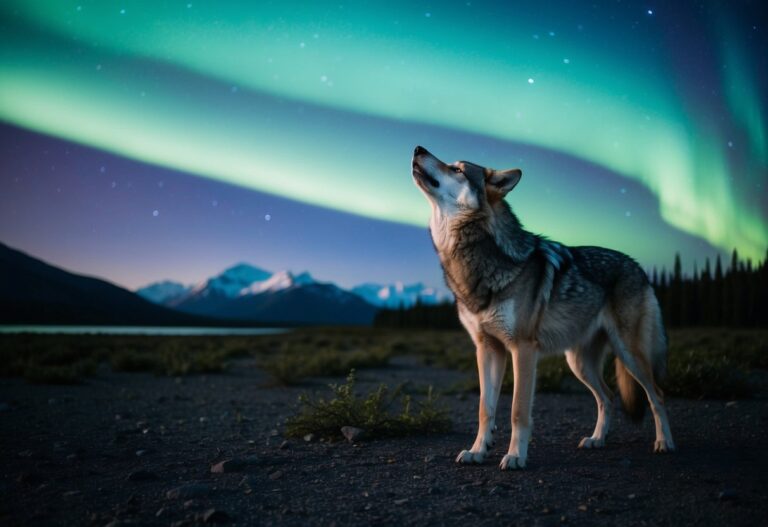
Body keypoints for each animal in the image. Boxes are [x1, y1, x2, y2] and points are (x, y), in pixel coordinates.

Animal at [411, 146, 675, 470]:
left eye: (458, 169)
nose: (418, 149)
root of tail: (638, 267)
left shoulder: (523, 348)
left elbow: (517, 410)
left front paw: (515, 456)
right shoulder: (487, 348)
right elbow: (485, 409)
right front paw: (477, 451)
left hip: (629, 354)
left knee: (657, 395)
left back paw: (664, 443)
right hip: (579, 363)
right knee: (608, 397)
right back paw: (597, 439)